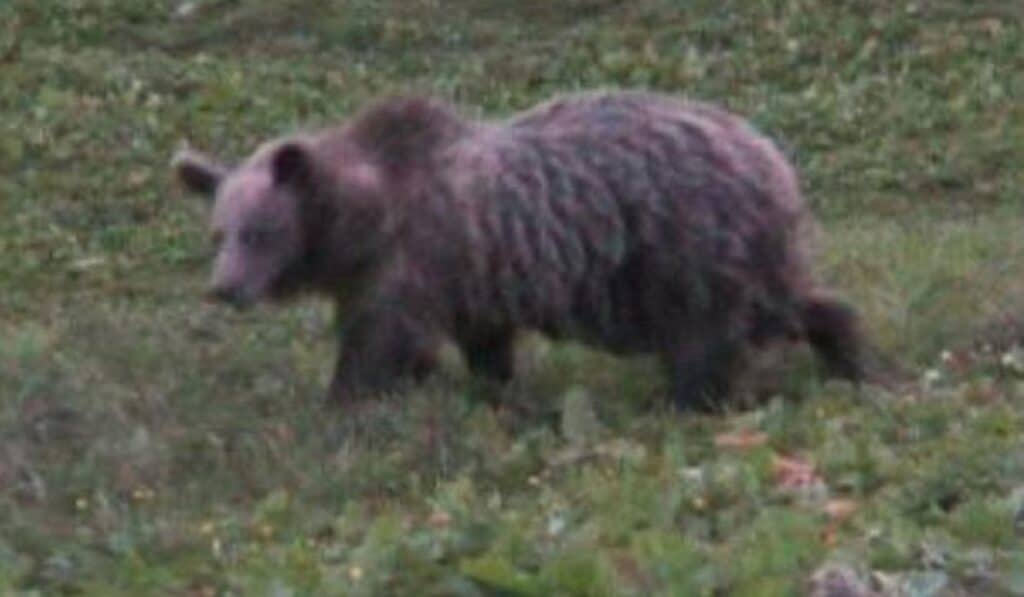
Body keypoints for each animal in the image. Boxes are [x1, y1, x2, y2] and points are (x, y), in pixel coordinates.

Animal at [172, 90, 864, 411]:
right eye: (218, 233)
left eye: (259, 231)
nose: (224, 287)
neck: (362, 226)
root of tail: (770, 156)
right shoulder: (470, 277)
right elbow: (483, 347)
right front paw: (491, 392)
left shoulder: (419, 257)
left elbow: (381, 342)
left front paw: (343, 402)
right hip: (736, 254)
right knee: (789, 302)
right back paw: (851, 358)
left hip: (683, 247)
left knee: (707, 337)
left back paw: (685, 400)